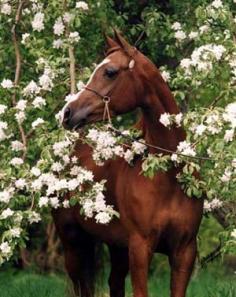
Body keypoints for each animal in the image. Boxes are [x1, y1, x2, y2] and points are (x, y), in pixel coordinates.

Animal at [53, 32, 203, 296]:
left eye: (110, 72)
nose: (68, 113)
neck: (169, 177)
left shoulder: (184, 251)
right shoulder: (140, 248)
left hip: (116, 247)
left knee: (114, 282)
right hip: (73, 244)